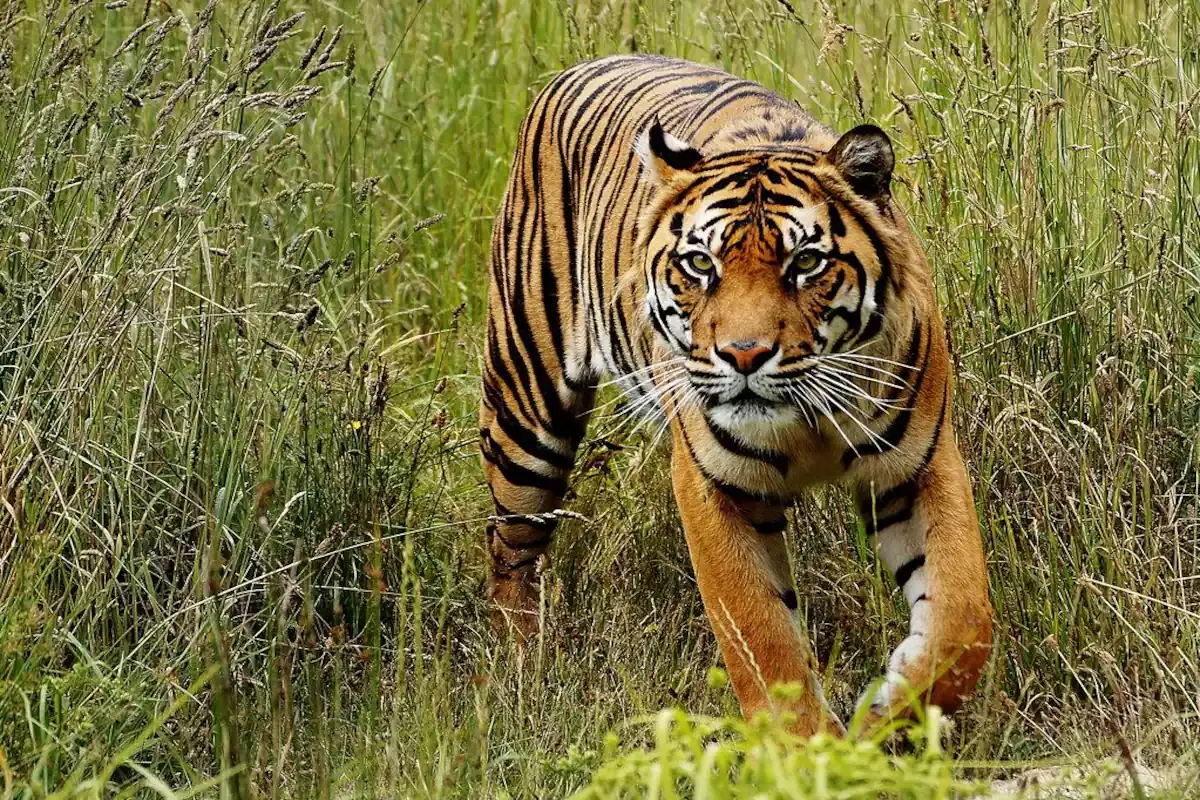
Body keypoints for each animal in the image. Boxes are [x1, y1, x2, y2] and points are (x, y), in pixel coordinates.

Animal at [479, 54, 992, 735]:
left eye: (805, 263)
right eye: (701, 264)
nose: (744, 355)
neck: (807, 421)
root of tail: (581, 66)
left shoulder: (919, 465)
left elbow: (964, 617)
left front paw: (889, 711)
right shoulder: (714, 486)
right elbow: (761, 636)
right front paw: (808, 749)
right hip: (526, 412)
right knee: (510, 548)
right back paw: (522, 672)